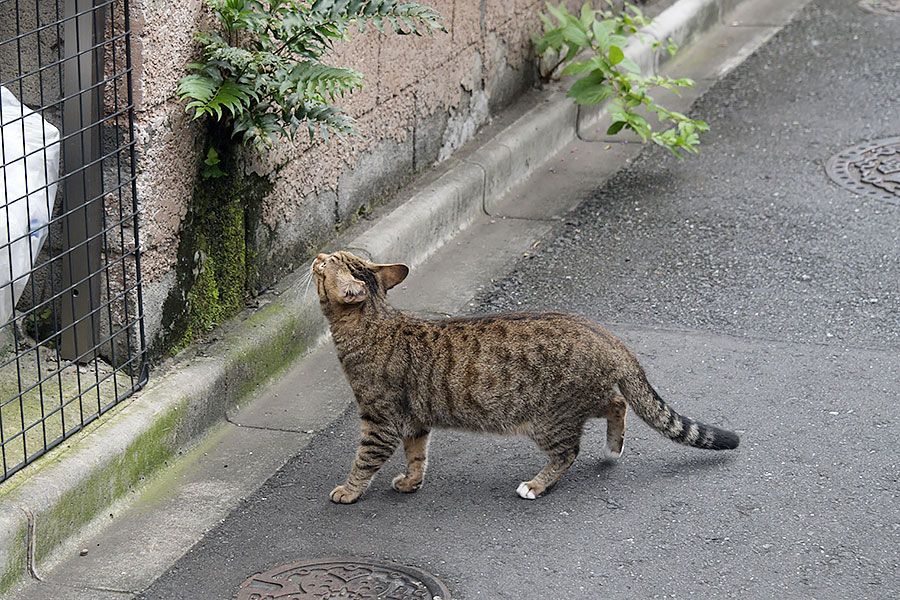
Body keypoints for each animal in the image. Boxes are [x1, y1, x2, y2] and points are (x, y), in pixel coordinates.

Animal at [312, 248, 740, 502]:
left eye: (327, 264)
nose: (317, 254)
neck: (375, 320)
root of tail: (608, 335)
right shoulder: (415, 421)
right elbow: (417, 456)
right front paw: (411, 482)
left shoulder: (380, 420)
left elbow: (364, 459)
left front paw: (349, 490)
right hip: (583, 400)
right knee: (618, 403)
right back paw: (612, 448)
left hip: (549, 418)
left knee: (569, 450)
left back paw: (537, 484)